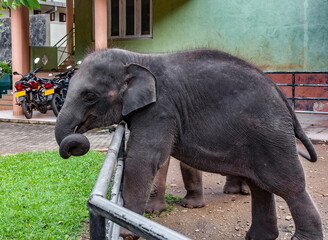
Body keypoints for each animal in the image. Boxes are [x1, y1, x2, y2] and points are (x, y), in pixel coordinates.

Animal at [55, 47, 322, 239]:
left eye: (90, 95)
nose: (74, 142)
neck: (138, 58)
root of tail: (283, 96)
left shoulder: (161, 109)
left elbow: (144, 159)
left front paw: (126, 233)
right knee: (261, 186)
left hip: (271, 135)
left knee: (289, 186)